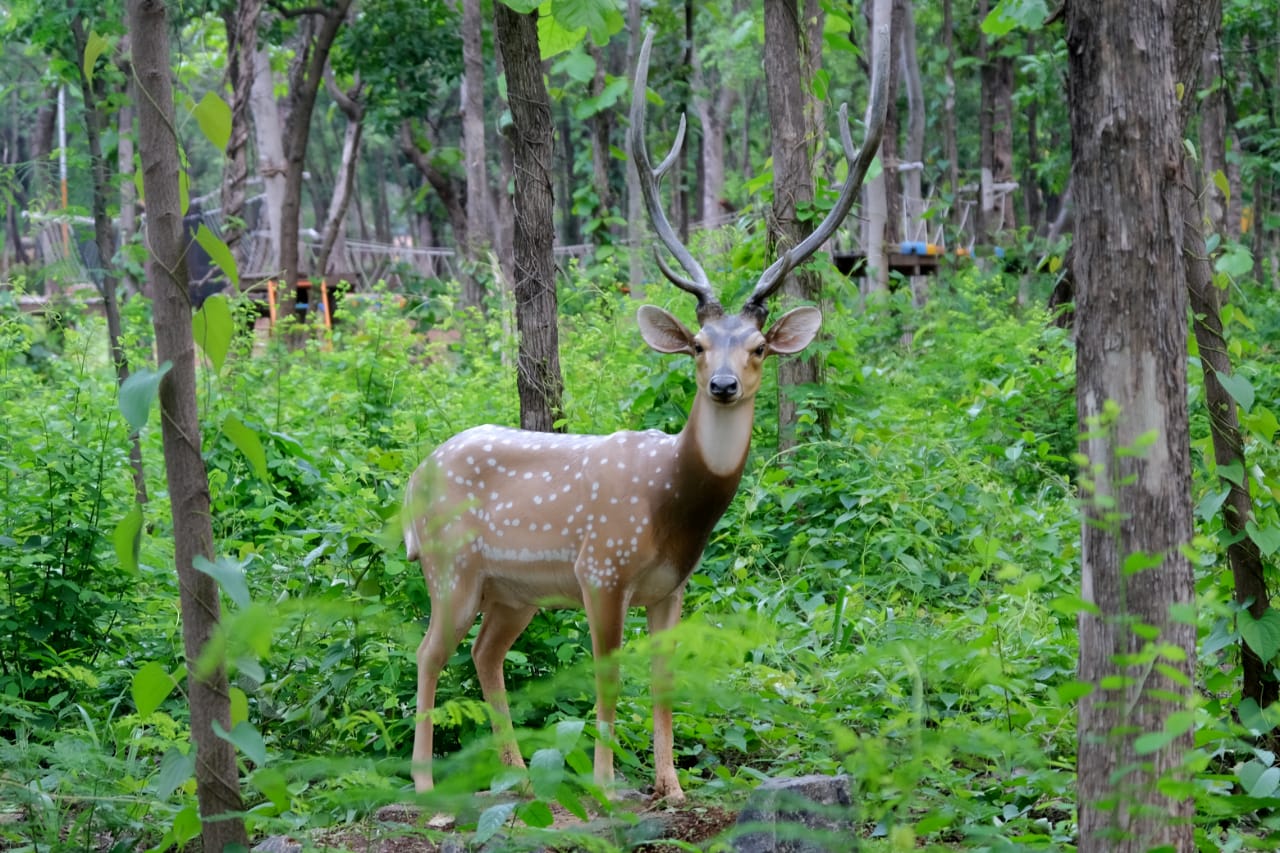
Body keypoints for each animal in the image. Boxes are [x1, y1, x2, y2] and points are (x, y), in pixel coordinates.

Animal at [404, 24, 885, 799]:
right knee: (427, 651)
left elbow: (663, 680)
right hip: (451, 562)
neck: (670, 507)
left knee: (484, 654)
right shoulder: (601, 566)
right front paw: (606, 783)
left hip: (514, 590)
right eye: (697, 344)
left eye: (757, 347)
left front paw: (671, 784)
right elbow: (605, 678)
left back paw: (522, 777)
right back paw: (424, 786)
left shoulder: (672, 587)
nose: (722, 384)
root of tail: (414, 482)